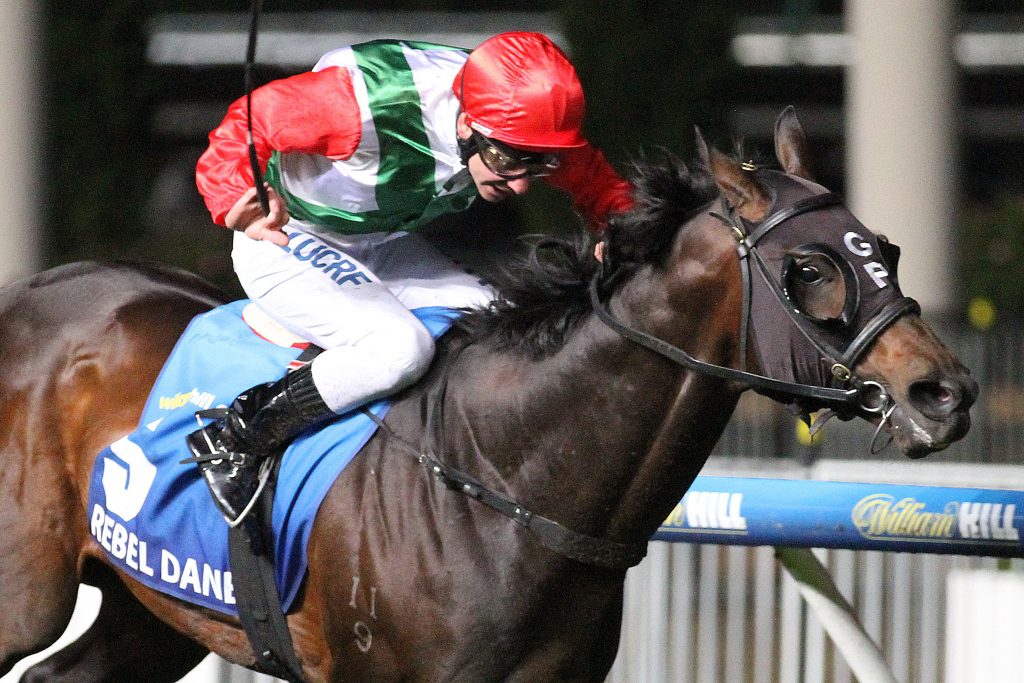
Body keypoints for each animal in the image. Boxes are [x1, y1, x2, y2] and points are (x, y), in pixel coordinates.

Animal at [0, 108, 976, 682]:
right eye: (808, 268)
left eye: (884, 248)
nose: (945, 391)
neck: (510, 485)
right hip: (27, 594)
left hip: (150, 610)